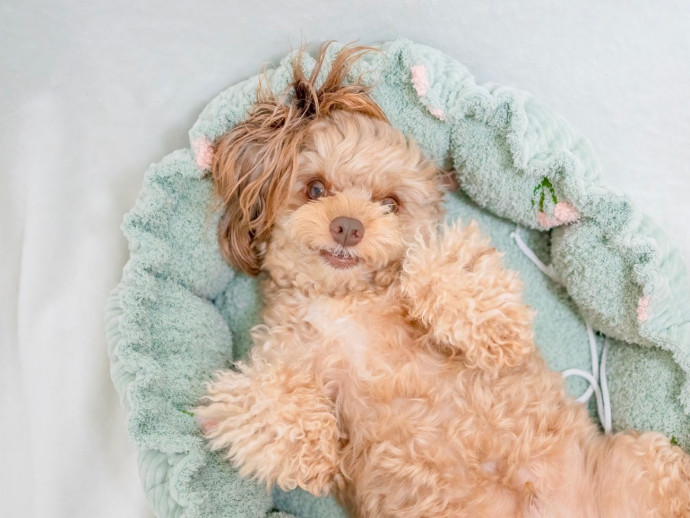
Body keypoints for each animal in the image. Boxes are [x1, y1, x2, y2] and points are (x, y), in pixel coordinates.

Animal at [195, 45, 688, 518]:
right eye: (315, 189)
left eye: (390, 204)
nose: (348, 227)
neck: (342, 303)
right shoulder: (277, 359)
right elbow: (260, 398)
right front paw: (315, 456)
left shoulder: (442, 265)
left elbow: (438, 269)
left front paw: (496, 334)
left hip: (640, 461)